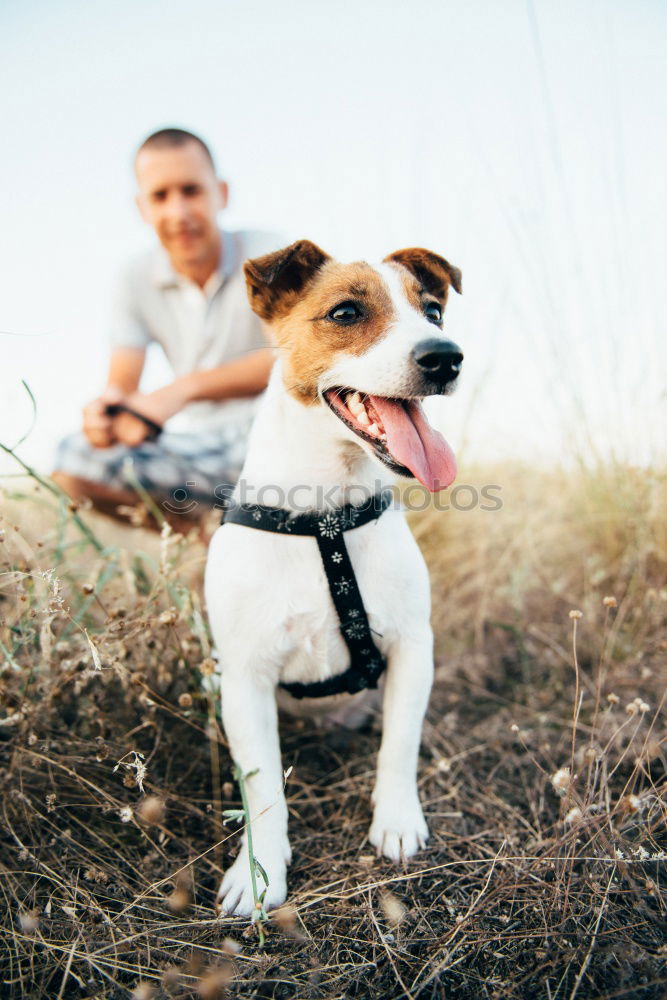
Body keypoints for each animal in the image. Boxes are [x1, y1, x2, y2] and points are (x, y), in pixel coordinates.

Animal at [205, 240, 464, 916]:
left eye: (433, 312)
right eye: (346, 312)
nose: (445, 357)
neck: (325, 516)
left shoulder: (412, 650)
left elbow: (399, 746)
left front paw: (396, 821)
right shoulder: (245, 679)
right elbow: (263, 787)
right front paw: (259, 873)